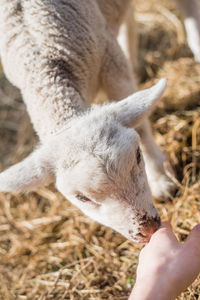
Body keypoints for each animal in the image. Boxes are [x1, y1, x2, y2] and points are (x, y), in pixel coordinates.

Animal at [0, 0, 179, 243]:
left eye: (137, 156)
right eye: (82, 198)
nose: (149, 229)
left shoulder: (109, 56)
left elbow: (140, 127)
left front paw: (161, 179)